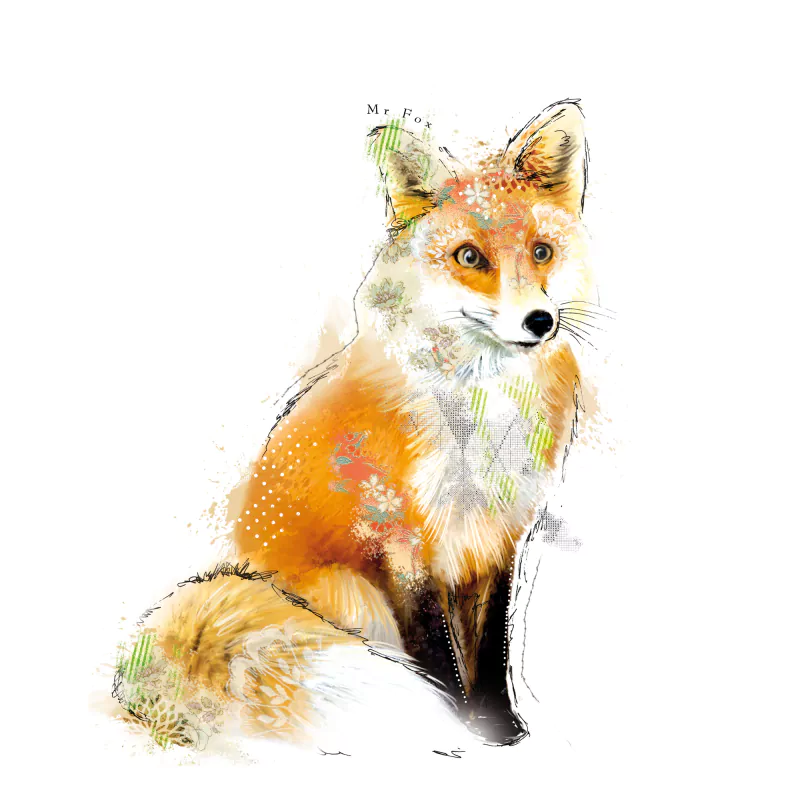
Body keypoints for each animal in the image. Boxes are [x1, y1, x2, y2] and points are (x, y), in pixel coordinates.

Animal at [112, 99, 598, 754]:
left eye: (542, 251)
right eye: (470, 257)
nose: (540, 321)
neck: (482, 409)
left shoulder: (498, 536)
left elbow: (492, 653)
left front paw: (500, 729)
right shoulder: (403, 542)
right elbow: (439, 656)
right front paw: (464, 731)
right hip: (351, 593)